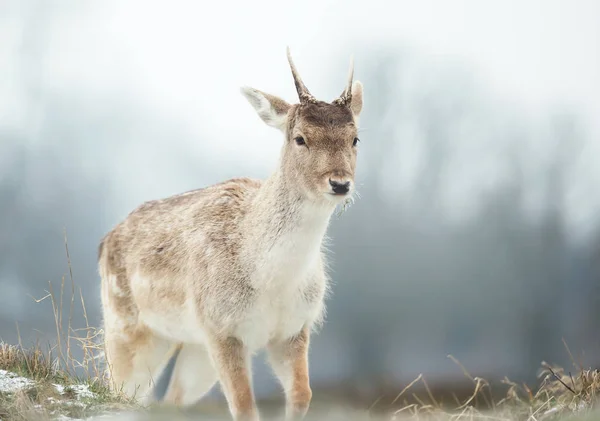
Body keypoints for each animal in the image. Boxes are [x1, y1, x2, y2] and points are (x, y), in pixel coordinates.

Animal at [98, 47, 364, 418]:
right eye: (300, 138)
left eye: (355, 138)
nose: (340, 183)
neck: (271, 282)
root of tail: (105, 239)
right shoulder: (221, 327)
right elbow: (243, 405)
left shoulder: (294, 328)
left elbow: (302, 395)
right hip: (127, 327)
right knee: (121, 389)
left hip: (193, 347)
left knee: (171, 399)